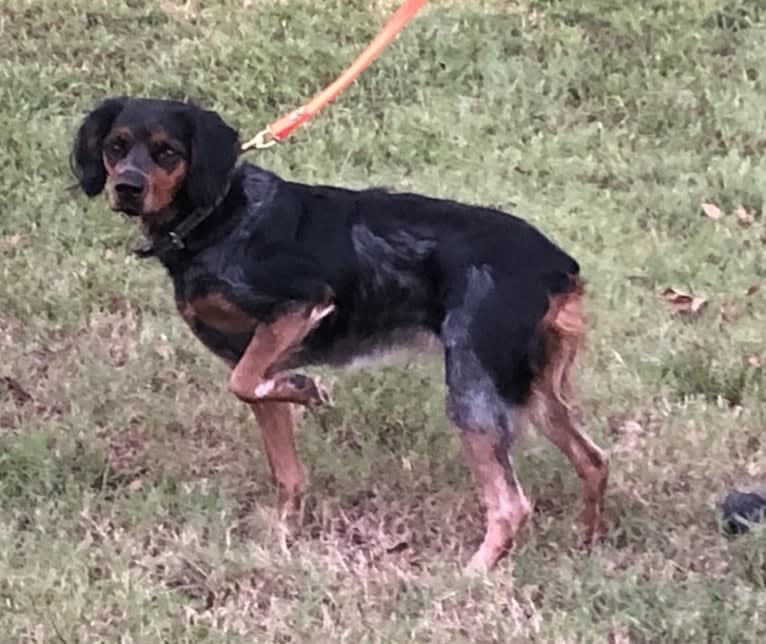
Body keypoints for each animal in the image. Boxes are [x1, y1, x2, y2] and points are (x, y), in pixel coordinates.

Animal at [73, 94, 612, 568]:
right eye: (116, 146)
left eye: (168, 152)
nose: (127, 187)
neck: (220, 216)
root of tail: (557, 267)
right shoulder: (257, 354)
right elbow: (283, 464)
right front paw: (284, 537)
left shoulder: (303, 302)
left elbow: (245, 383)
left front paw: (306, 389)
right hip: (529, 389)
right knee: (594, 459)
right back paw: (587, 545)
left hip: (474, 388)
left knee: (510, 505)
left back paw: (471, 576)